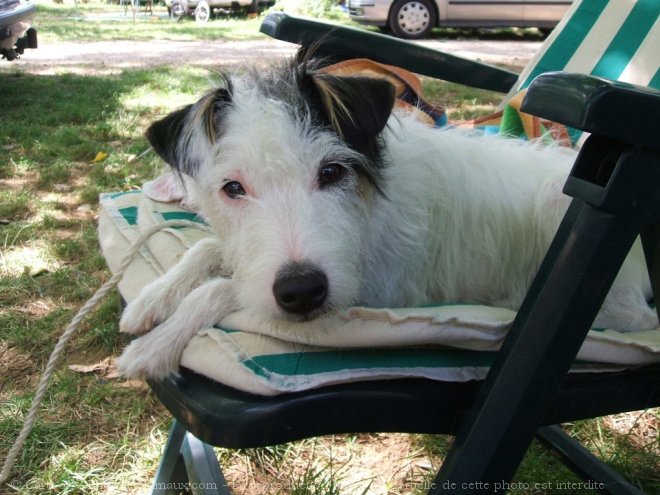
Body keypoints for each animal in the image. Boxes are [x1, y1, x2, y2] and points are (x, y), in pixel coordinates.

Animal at [116, 53, 656, 380]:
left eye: (332, 172)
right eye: (233, 188)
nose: (301, 291)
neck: (368, 213)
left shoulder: (374, 290)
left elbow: (222, 289)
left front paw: (157, 344)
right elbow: (211, 249)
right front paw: (151, 298)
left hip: (562, 220)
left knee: (635, 316)